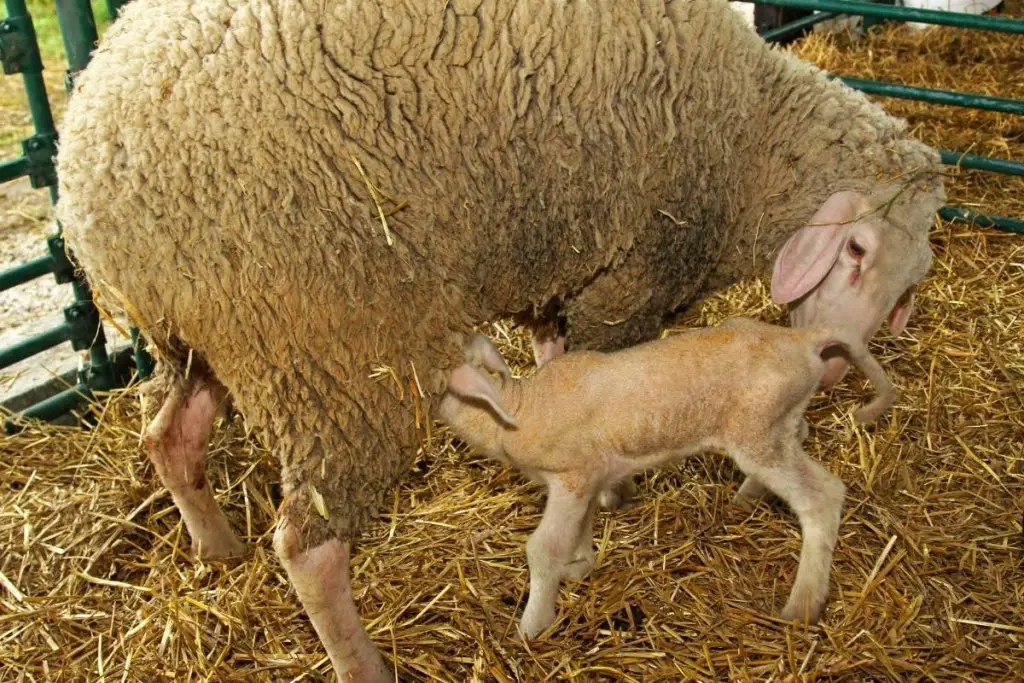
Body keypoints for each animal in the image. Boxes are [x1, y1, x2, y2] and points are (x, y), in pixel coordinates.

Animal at [440, 317, 897, 638]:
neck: (519, 408)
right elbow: (582, 526)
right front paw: (580, 566)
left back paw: (802, 606)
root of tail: (801, 340)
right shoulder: (589, 478)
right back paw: (749, 496)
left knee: (822, 496)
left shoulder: (573, 475)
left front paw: (532, 626)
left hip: (757, 432)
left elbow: (543, 549)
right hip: (776, 424)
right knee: (800, 435)